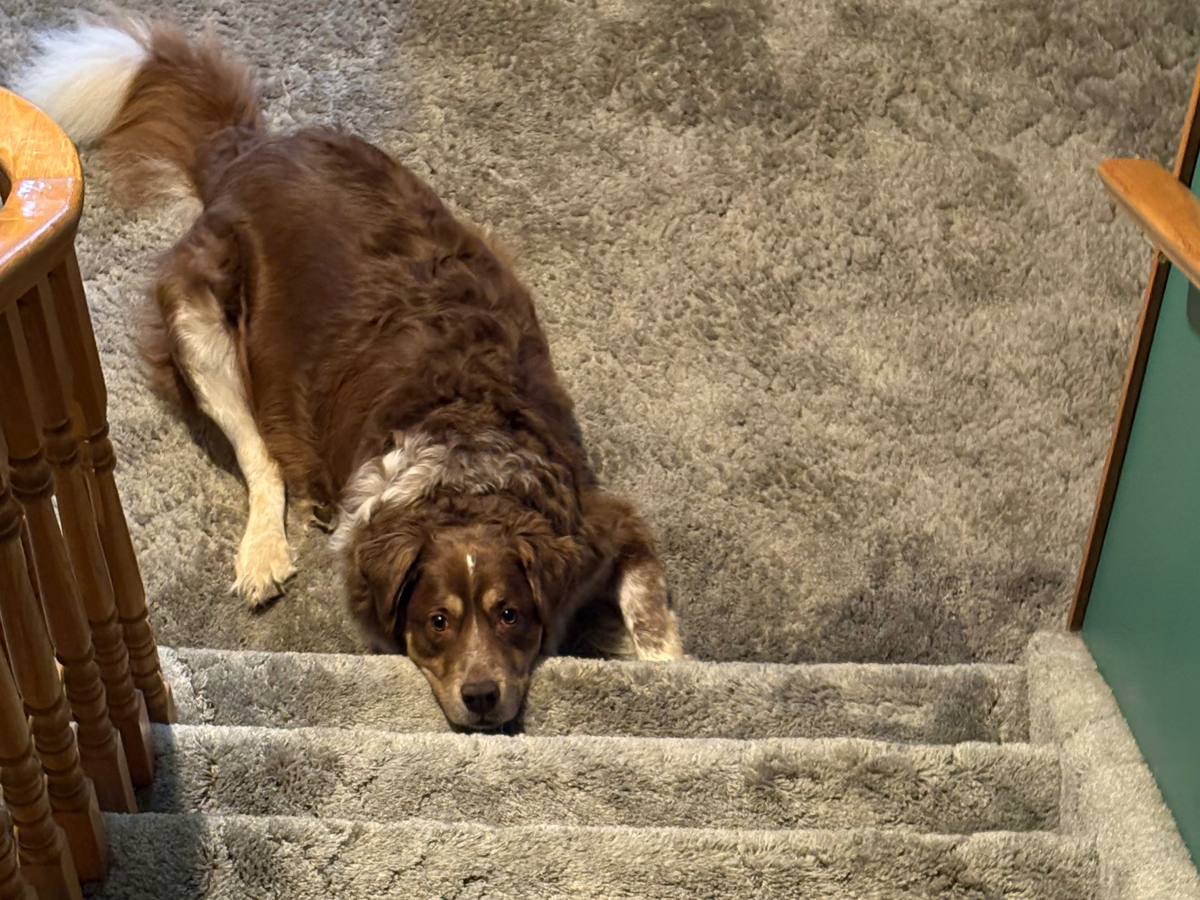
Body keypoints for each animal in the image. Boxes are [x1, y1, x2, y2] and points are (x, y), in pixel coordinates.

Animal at [14, 15, 684, 729]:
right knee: (259, 456)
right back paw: (265, 550)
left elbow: (650, 612)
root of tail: (248, 148)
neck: (467, 463)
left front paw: (663, 665)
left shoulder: (600, 520)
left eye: (510, 614)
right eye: (437, 622)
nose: (480, 696)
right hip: (198, 321)